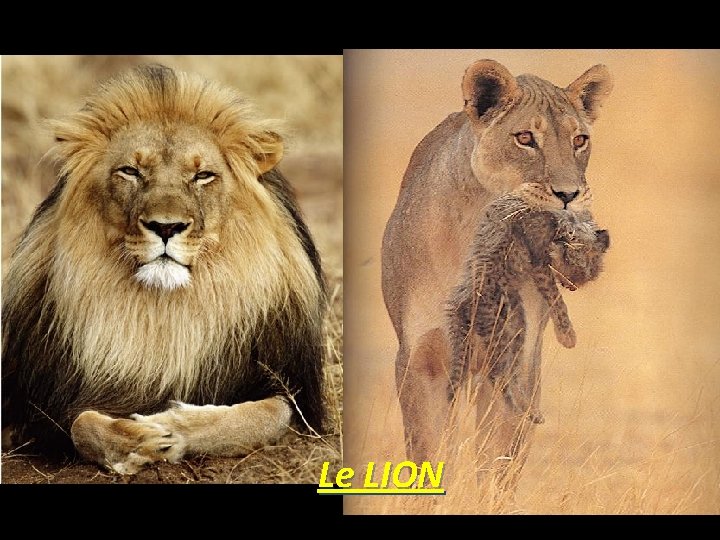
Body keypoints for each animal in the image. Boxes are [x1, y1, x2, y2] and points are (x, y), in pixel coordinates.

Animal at [1, 65, 327, 475]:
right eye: (130, 171)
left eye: (203, 175)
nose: (166, 227)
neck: (166, 319)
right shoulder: (35, 415)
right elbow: (81, 424)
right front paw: (134, 441)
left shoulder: (296, 400)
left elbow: (263, 414)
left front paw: (170, 425)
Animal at [381, 59, 612, 486]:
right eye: (524, 138)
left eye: (579, 140)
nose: (569, 194)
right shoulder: (421, 360)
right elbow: (428, 460)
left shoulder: (513, 365)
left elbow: (495, 465)